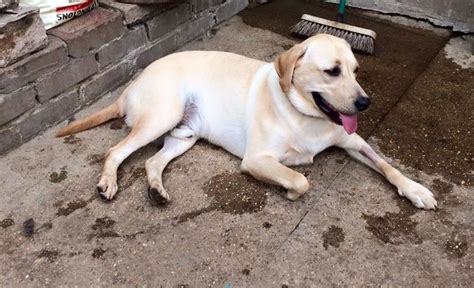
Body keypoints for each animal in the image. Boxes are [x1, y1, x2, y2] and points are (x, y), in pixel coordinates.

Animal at [56, 33, 436, 209]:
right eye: (332, 71)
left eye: (356, 71)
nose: (365, 103)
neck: (304, 115)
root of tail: (133, 82)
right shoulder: (257, 159)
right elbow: (300, 180)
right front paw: (291, 191)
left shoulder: (353, 141)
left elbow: (388, 166)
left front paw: (415, 189)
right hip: (161, 117)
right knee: (116, 151)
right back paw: (108, 181)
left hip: (184, 135)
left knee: (152, 162)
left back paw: (156, 190)